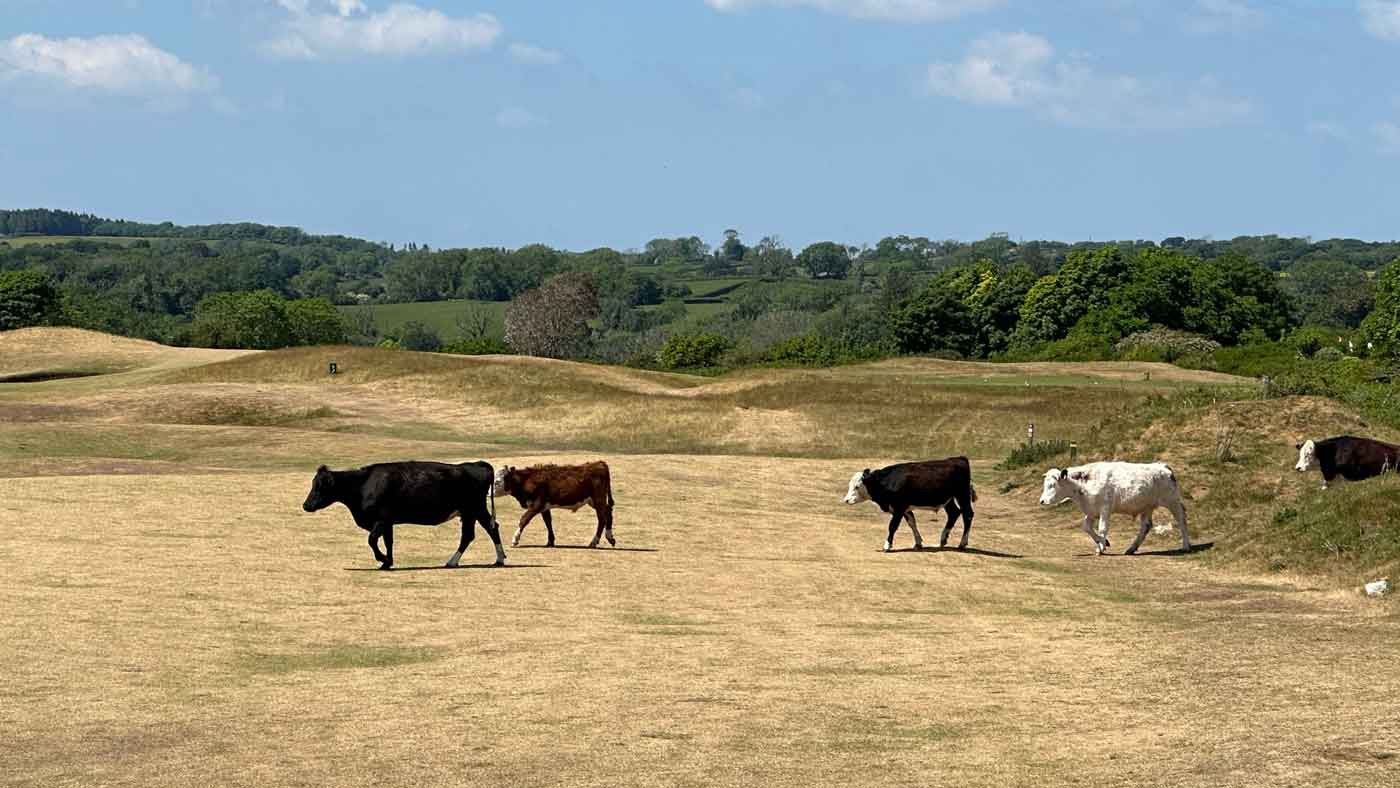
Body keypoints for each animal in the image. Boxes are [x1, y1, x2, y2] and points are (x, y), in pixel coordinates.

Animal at [302, 461, 504, 570]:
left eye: (320, 486)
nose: (306, 505)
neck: (363, 484)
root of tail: (476, 464)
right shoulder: (388, 522)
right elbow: (388, 541)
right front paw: (387, 562)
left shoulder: (381, 519)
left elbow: (372, 540)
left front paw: (383, 559)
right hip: (470, 512)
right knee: (474, 533)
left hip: (474, 508)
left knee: (488, 529)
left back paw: (493, 559)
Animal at [843, 457, 977, 552]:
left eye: (857, 486)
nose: (846, 500)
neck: (885, 483)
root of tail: (959, 459)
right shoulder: (905, 508)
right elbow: (912, 523)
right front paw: (918, 543)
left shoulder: (899, 508)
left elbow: (892, 526)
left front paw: (887, 545)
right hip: (948, 500)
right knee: (954, 513)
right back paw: (943, 539)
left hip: (962, 495)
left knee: (968, 515)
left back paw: (962, 543)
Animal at [1039, 462, 1189, 556]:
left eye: (1052, 485)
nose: (1042, 501)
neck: (1084, 484)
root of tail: (1162, 466)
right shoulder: (1092, 510)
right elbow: (1086, 527)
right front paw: (1103, 542)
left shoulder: (1105, 508)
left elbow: (1102, 528)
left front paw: (1100, 549)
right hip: (1147, 506)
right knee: (1146, 526)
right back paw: (1131, 549)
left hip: (1172, 501)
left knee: (1181, 519)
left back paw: (1186, 546)